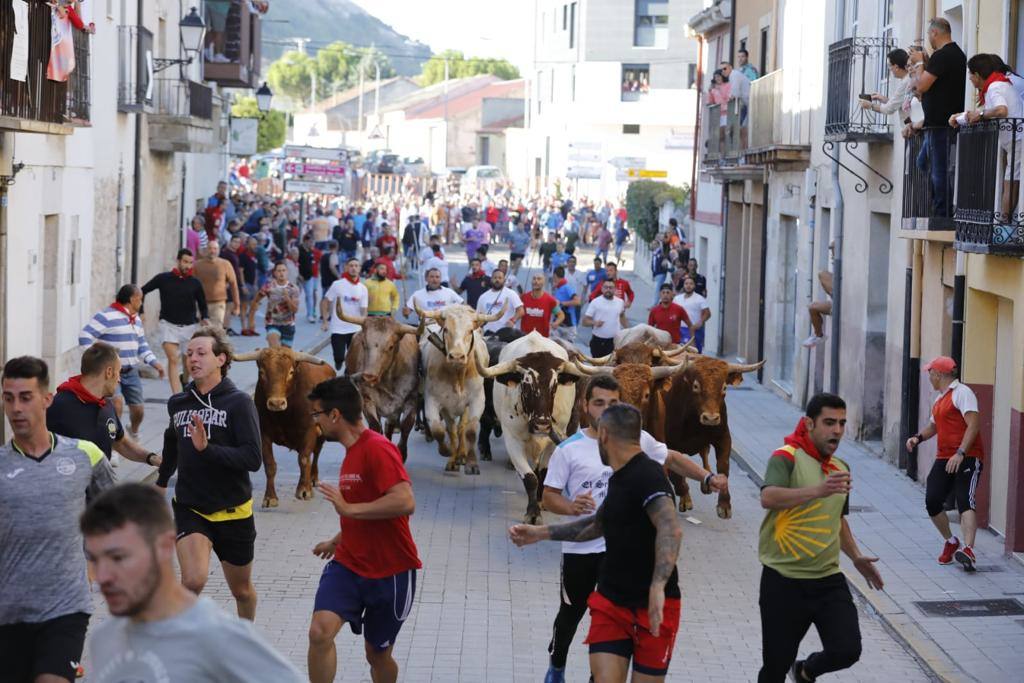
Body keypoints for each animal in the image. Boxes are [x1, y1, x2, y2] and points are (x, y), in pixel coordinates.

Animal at [233, 348, 335, 507]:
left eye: (291, 372)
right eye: (262, 372)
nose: (276, 403)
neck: (284, 414)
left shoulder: (309, 431)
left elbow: (304, 459)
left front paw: (303, 490)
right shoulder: (263, 433)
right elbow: (270, 464)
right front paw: (270, 497)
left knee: (316, 452)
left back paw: (312, 479)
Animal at [337, 307, 421, 462]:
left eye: (390, 346)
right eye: (364, 344)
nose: (369, 376)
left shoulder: (410, 400)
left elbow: (405, 426)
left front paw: (401, 453)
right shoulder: (367, 401)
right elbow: (375, 426)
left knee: (390, 426)